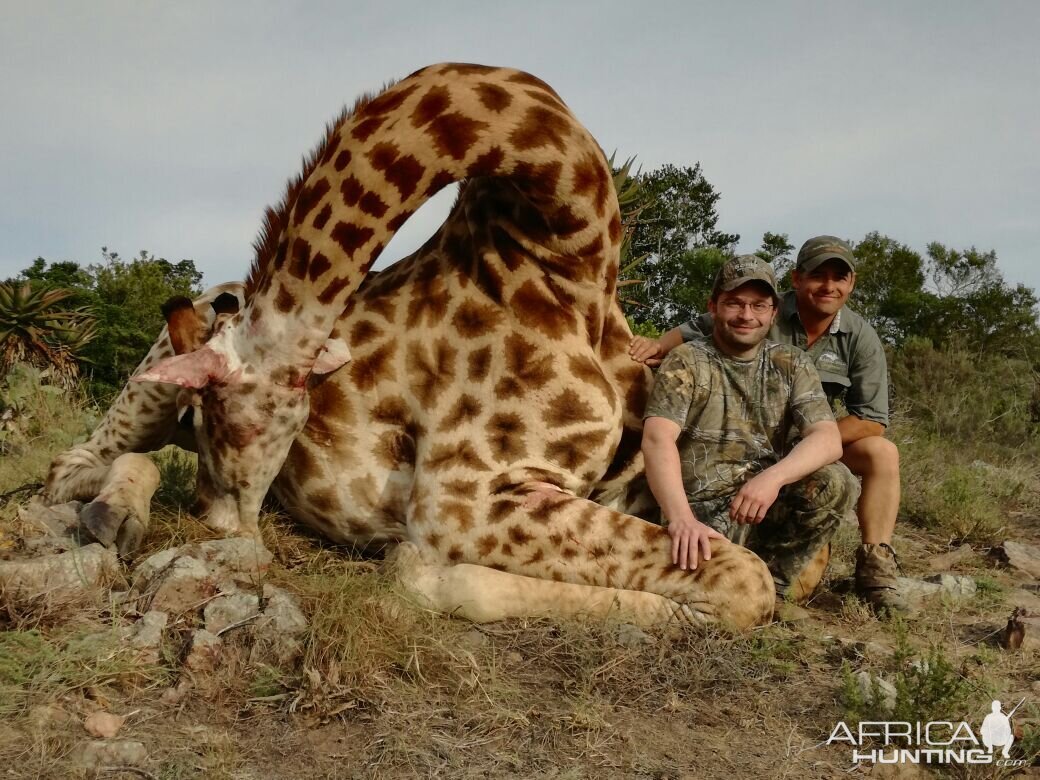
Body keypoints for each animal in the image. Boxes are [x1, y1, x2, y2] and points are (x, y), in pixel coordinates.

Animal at [44, 64, 777, 632]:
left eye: (214, 414)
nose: (221, 524)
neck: (572, 256)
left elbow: (743, 580)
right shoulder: (460, 501)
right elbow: (746, 579)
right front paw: (416, 572)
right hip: (147, 389)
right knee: (72, 465)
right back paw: (113, 516)